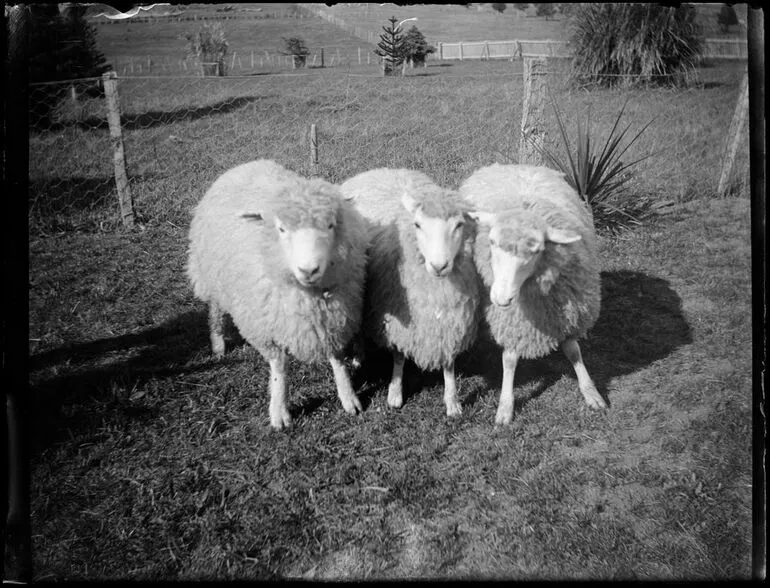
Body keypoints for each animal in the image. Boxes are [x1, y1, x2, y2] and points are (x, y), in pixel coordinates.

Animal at [185, 158, 366, 430]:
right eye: (281, 229)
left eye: (331, 225)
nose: (309, 270)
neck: (307, 295)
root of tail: (248, 163)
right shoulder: (266, 327)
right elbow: (280, 368)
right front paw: (279, 411)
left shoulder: (335, 316)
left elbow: (337, 358)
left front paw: (348, 397)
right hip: (211, 274)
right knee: (215, 310)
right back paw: (218, 344)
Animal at [340, 168, 476, 416]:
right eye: (418, 225)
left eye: (459, 225)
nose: (439, 266)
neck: (436, 287)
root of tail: (379, 170)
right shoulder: (399, 316)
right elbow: (398, 356)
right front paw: (395, 393)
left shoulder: (451, 318)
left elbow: (449, 363)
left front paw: (452, 401)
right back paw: (358, 356)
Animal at [456, 163, 608, 424]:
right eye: (492, 242)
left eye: (536, 250)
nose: (501, 298)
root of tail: (514, 165)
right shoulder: (511, 320)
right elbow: (509, 360)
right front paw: (505, 407)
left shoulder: (568, 311)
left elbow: (573, 351)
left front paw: (590, 391)